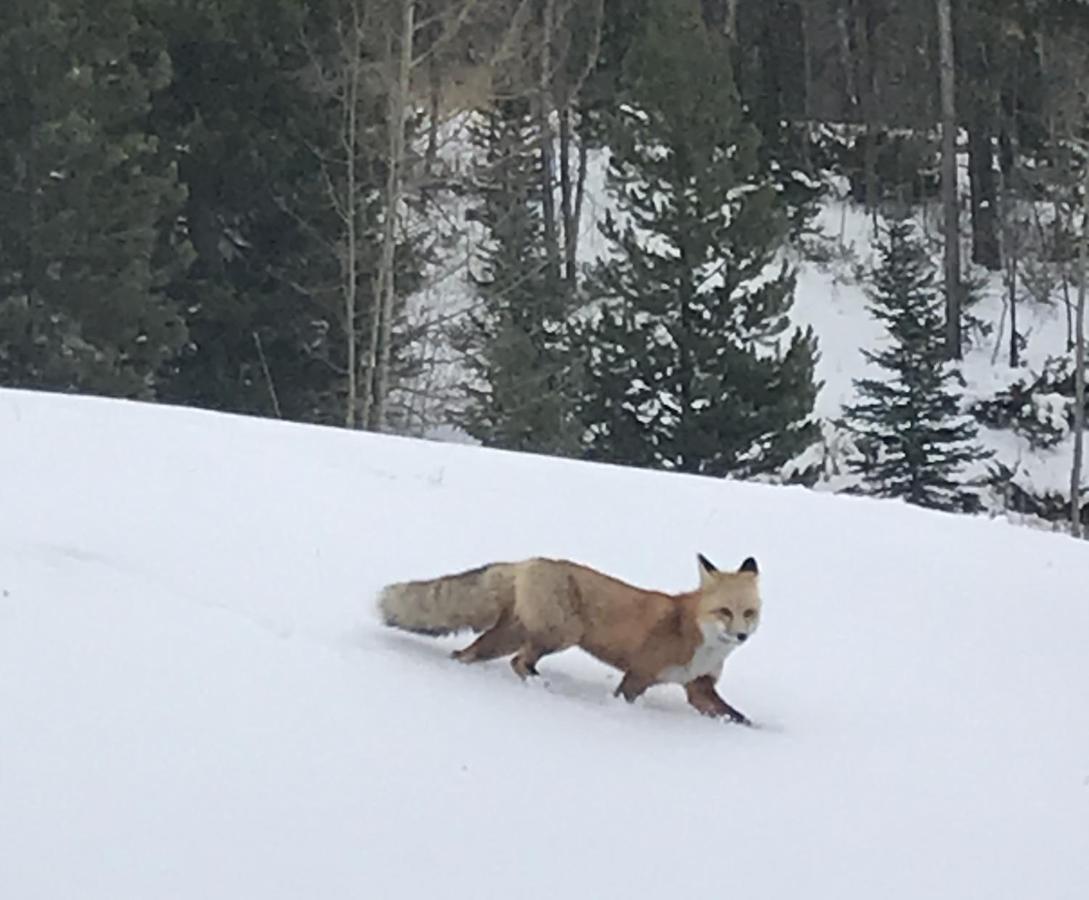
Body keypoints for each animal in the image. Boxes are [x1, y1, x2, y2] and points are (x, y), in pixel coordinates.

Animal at [378, 546, 762, 723]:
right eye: (724, 612)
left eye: (748, 614)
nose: (741, 636)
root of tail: (527, 562)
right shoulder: (638, 675)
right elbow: (623, 699)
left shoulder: (699, 689)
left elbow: (739, 718)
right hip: (561, 635)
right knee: (519, 662)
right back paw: (540, 686)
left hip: (507, 638)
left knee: (467, 654)